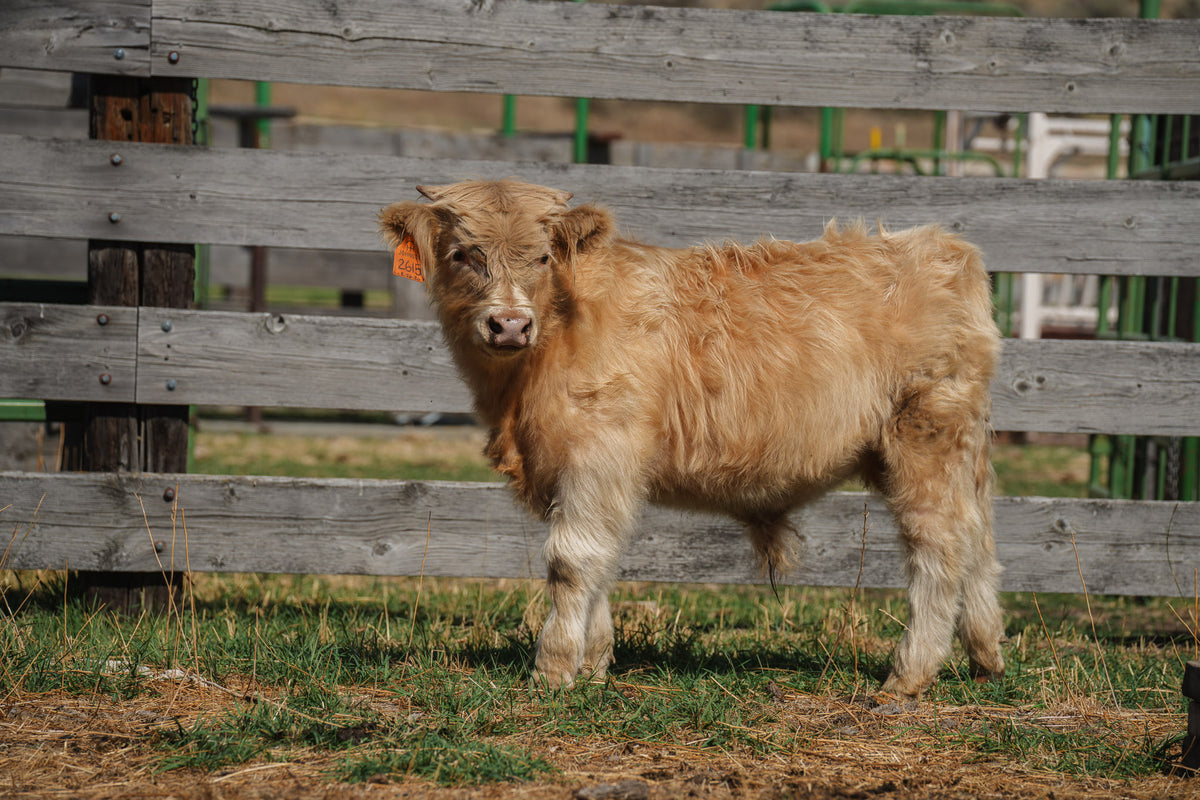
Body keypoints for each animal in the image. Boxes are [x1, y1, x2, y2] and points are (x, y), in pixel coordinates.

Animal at [379, 179, 1005, 698]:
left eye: (542, 256)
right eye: (463, 255)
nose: (509, 325)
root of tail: (941, 246)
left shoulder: (598, 456)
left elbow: (572, 561)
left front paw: (554, 669)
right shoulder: (592, 474)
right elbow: (602, 558)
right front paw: (595, 663)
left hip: (926, 437)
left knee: (940, 545)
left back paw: (910, 673)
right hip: (956, 449)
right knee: (978, 537)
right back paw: (986, 654)